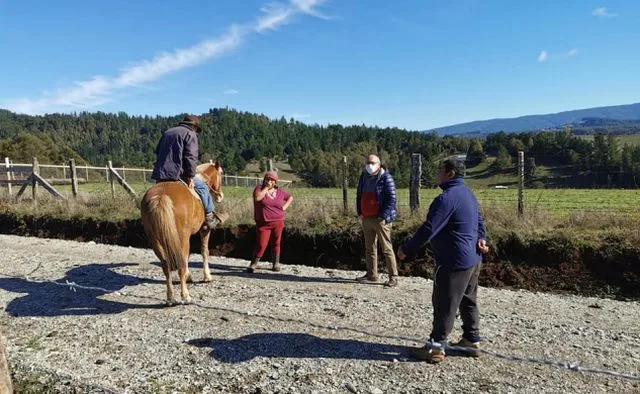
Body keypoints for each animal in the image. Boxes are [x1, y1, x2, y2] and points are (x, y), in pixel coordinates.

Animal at [141, 160, 225, 304]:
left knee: (166, 265)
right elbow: (204, 251)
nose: (220, 196)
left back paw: (170, 297)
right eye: (221, 174)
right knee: (180, 264)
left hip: (156, 240)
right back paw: (185, 295)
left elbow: (188, 257)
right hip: (182, 237)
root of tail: (161, 196)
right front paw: (207, 276)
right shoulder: (204, 229)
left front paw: (189, 276)